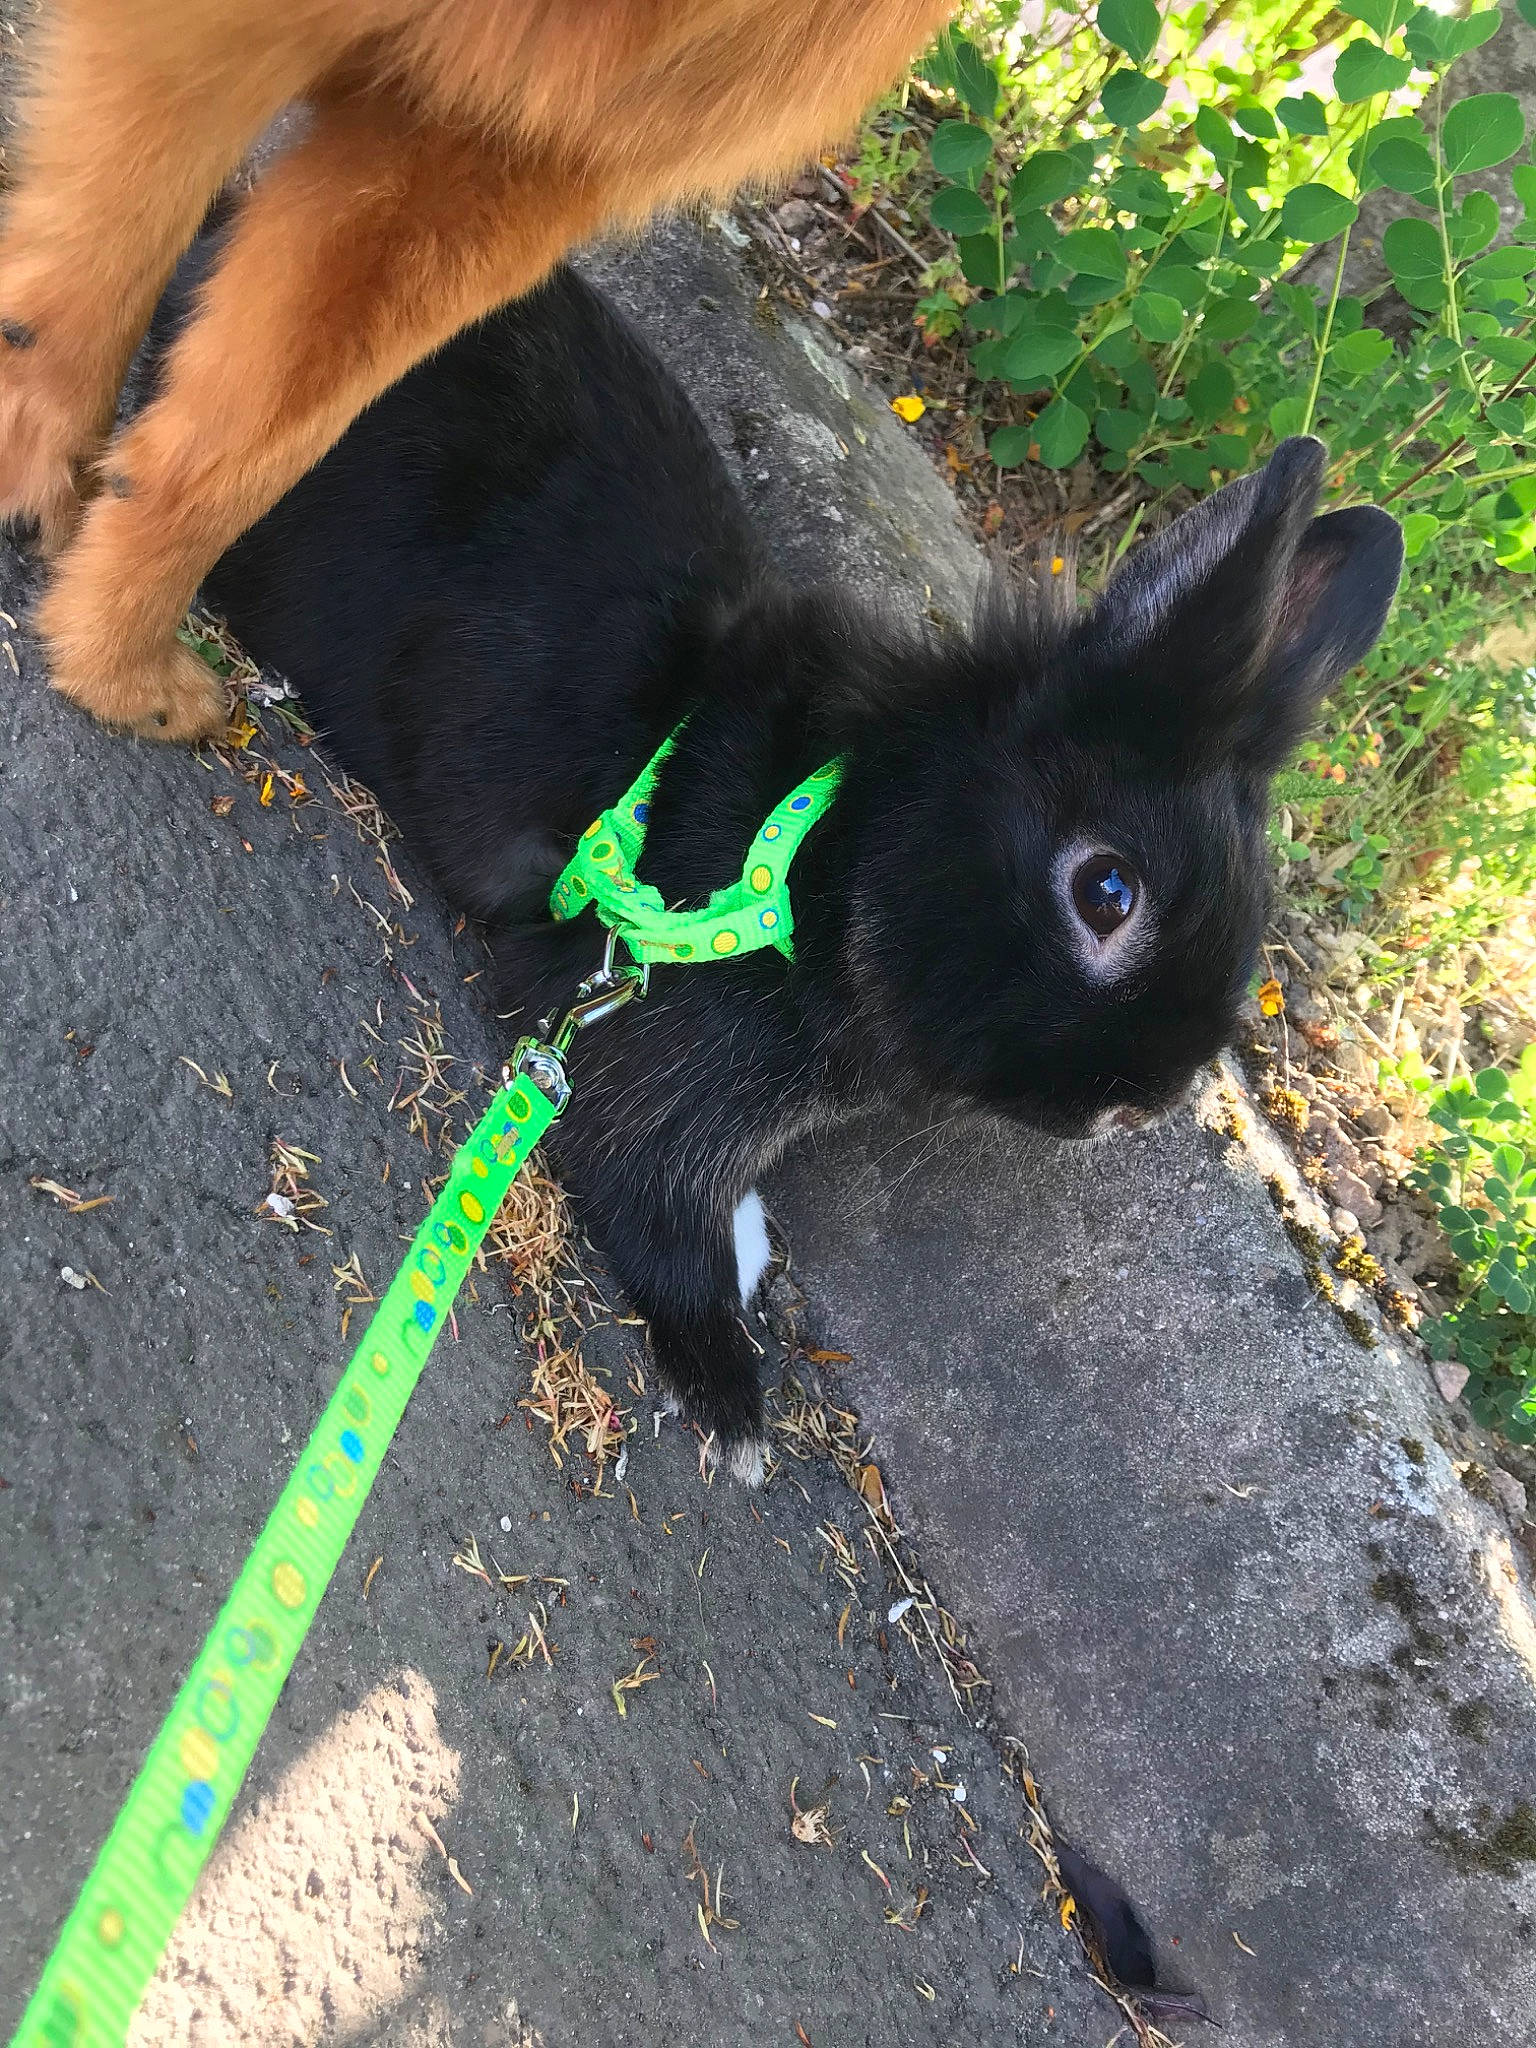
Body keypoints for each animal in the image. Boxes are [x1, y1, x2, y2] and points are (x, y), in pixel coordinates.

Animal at [189, 257, 1404, 1482]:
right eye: (1106, 891)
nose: (1139, 1106)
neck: (818, 845)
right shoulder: (641, 1057)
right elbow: (648, 1194)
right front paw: (735, 1407)